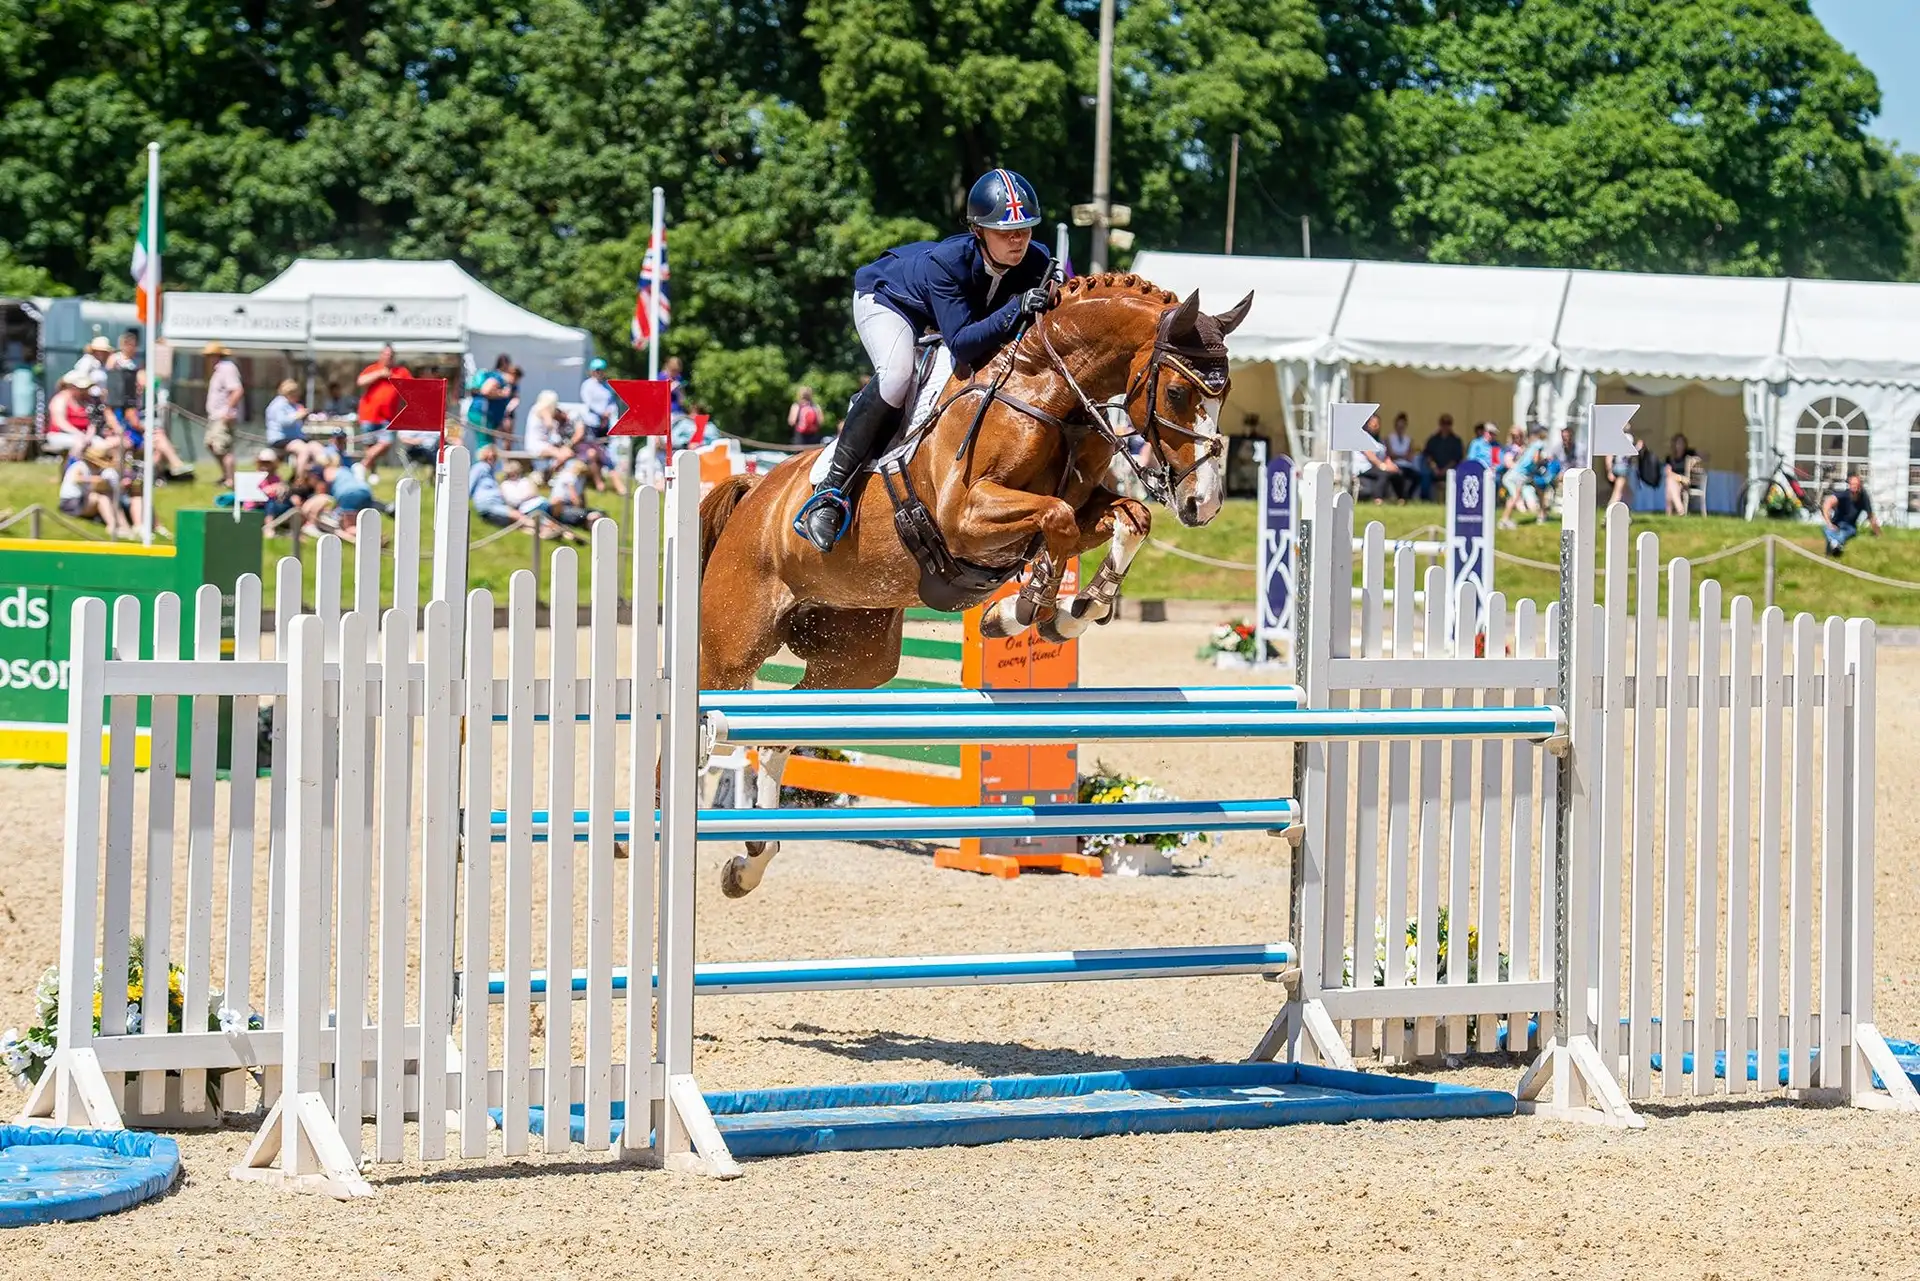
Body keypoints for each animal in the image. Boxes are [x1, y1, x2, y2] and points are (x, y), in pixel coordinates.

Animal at [697, 272, 1253, 897]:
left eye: (1226, 394)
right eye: (1178, 393)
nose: (1204, 504)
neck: (1050, 391)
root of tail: (754, 490)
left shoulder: (1083, 506)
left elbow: (1125, 518)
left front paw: (1067, 613)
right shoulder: (964, 515)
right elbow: (1056, 520)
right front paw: (1023, 610)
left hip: (854, 660)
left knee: (776, 733)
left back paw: (751, 859)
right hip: (732, 648)